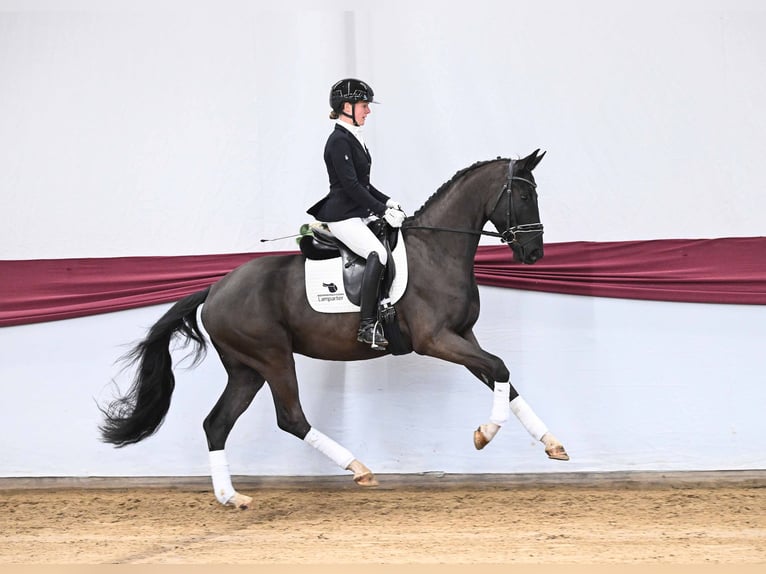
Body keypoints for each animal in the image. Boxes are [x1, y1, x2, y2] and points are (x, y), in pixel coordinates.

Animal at [100, 149, 569, 509]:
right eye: (523, 194)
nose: (534, 253)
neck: (438, 250)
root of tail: (215, 288)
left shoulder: (463, 337)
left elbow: (503, 378)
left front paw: (551, 444)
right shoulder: (436, 340)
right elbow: (501, 367)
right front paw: (485, 435)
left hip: (246, 369)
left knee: (217, 424)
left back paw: (231, 497)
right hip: (272, 357)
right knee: (290, 417)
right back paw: (358, 469)